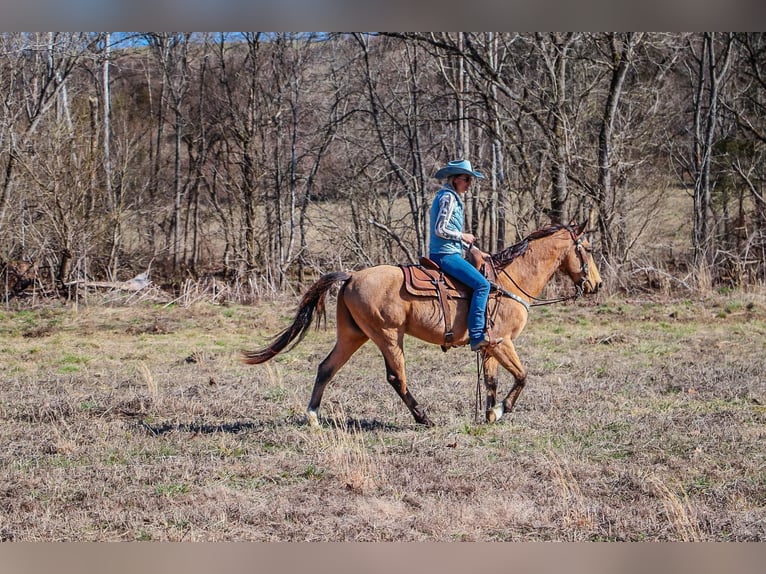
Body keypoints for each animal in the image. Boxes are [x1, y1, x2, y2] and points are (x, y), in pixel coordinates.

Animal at [243, 220, 604, 428]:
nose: (596, 285)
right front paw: (501, 411)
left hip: (352, 335)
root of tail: (352, 276)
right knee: (396, 377)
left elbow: (492, 381)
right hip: (388, 335)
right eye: (587, 248)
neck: (508, 280)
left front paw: (489, 414)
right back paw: (423, 417)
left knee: (326, 368)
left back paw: (313, 417)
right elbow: (522, 376)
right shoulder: (503, 342)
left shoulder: (490, 346)